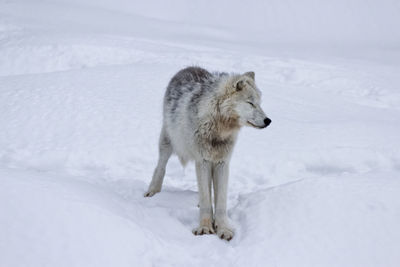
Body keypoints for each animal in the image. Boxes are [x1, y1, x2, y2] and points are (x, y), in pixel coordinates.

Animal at [145, 66, 272, 241]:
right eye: (250, 103)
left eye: (259, 104)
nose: (268, 121)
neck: (218, 130)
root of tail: (189, 67)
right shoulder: (203, 161)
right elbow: (206, 200)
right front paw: (205, 228)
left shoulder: (222, 163)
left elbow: (221, 201)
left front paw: (223, 228)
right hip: (168, 142)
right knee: (160, 167)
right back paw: (153, 191)